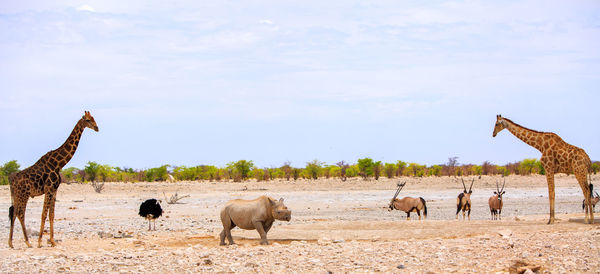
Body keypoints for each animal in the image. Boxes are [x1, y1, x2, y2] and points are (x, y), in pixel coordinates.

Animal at [8, 110, 98, 247]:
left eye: (93, 118)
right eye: (88, 120)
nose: (97, 128)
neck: (58, 164)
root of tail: (12, 181)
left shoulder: (55, 190)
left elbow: (52, 214)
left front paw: (52, 241)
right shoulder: (49, 189)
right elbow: (44, 214)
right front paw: (40, 242)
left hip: (16, 195)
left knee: (13, 213)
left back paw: (11, 243)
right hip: (24, 194)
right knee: (20, 213)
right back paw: (28, 242)